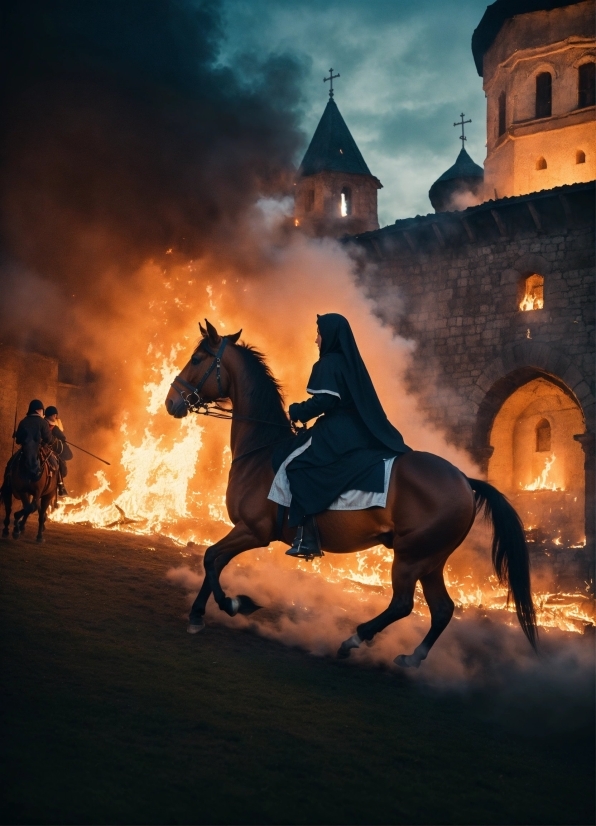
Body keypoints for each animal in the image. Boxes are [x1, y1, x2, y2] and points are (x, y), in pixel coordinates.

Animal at [165, 318, 536, 668]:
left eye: (197, 359)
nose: (171, 402)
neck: (262, 450)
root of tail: (463, 478)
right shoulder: (244, 531)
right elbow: (214, 560)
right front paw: (199, 613)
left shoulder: (254, 531)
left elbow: (210, 557)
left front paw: (233, 604)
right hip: (431, 560)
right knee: (443, 608)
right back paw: (411, 657)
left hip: (411, 557)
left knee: (403, 604)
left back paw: (354, 639)